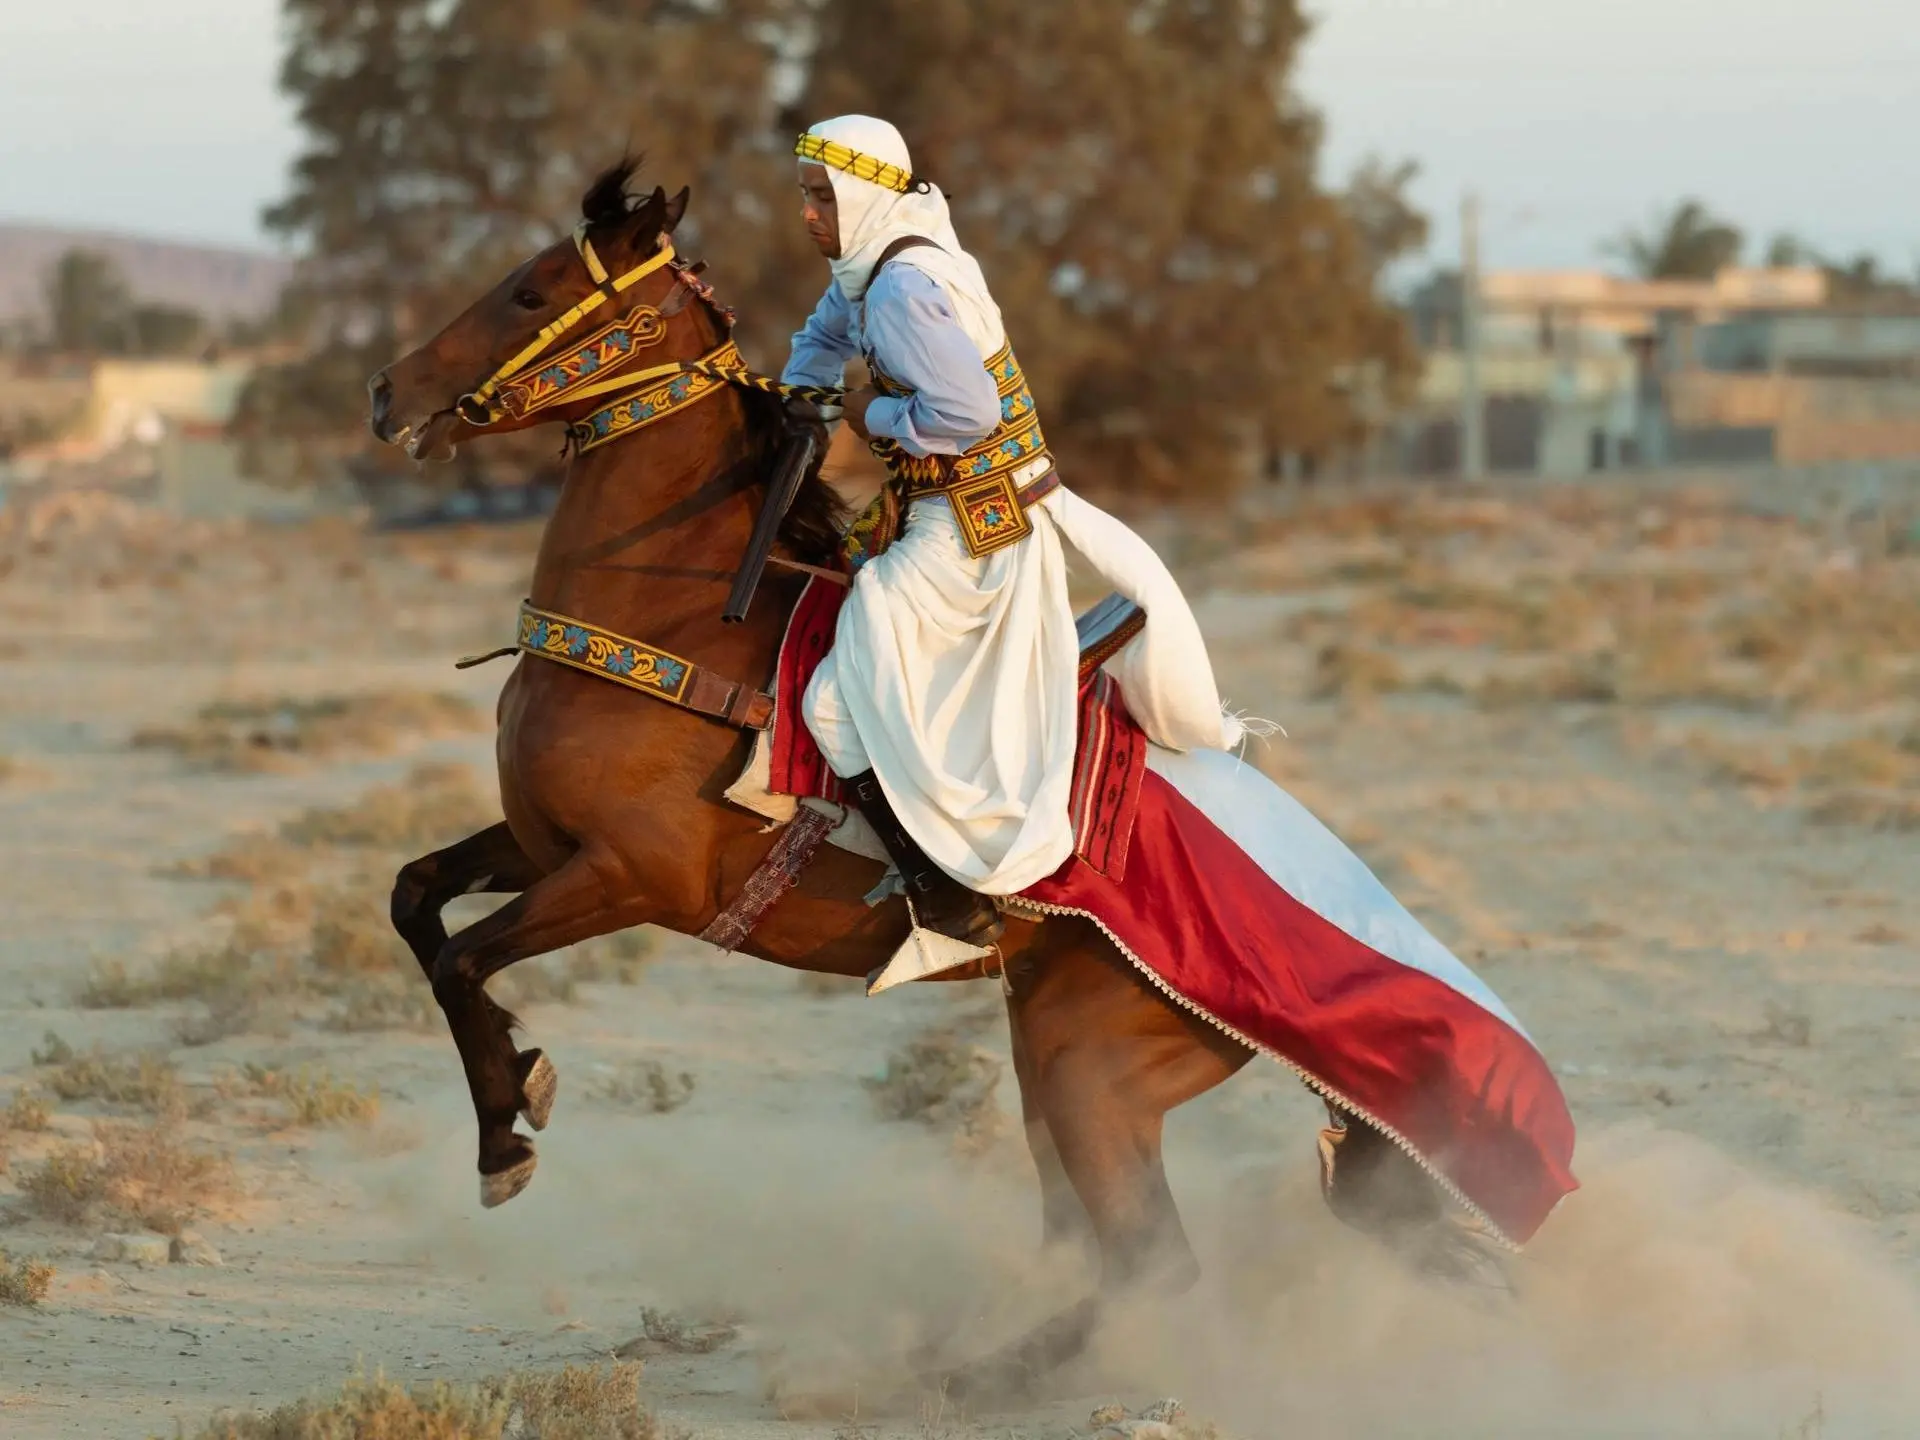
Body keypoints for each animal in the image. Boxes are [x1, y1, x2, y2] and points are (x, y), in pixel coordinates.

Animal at [366, 157, 1459, 1397]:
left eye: (530, 287)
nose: (388, 393)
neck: (669, 618)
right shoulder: (542, 846)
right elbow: (415, 900)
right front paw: (514, 1087)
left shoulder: (631, 879)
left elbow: (460, 958)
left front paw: (508, 1128)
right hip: (1048, 1056)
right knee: (1093, 1241)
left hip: (1087, 1067)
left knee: (1149, 1257)